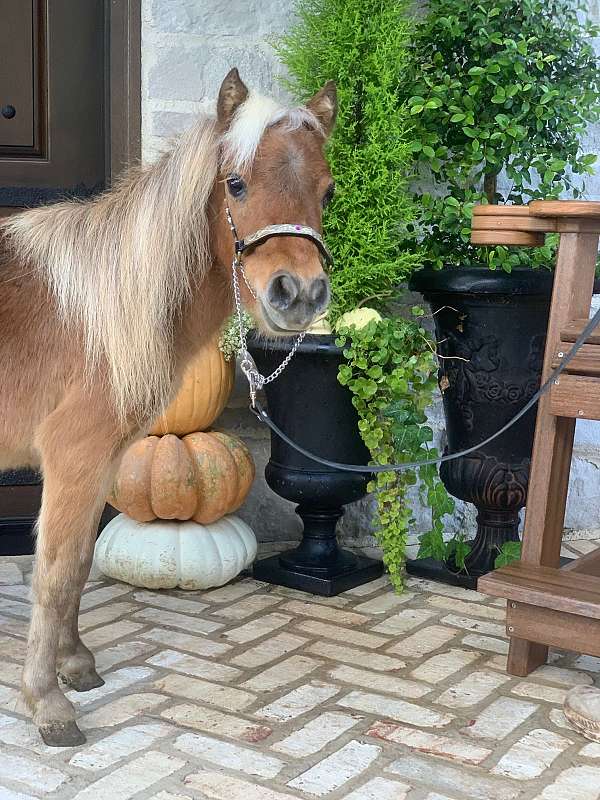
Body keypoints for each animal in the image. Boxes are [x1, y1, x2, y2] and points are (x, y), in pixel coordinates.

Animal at [0, 68, 337, 747]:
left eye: (328, 191)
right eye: (236, 183)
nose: (299, 294)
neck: (100, 310)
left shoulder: (101, 463)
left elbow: (80, 564)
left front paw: (77, 666)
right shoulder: (74, 459)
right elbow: (55, 571)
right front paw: (48, 703)